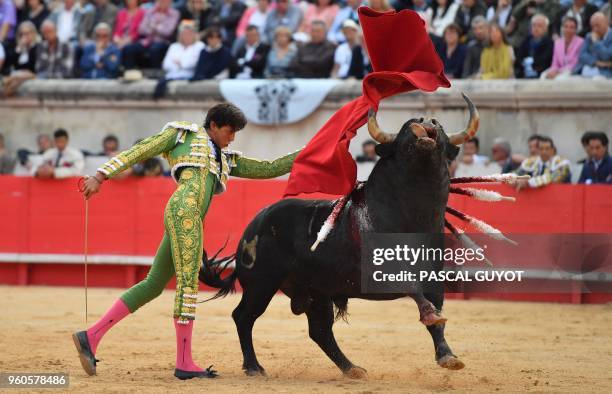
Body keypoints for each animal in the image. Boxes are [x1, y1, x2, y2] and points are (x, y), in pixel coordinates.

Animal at [200, 97, 478, 378]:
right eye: (406, 130)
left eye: (440, 127)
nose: (426, 121)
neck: (414, 216)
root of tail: (255, 223)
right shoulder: (382, 270)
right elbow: (414, 291)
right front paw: (432, 318)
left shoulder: (434, 279)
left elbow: (436, 316)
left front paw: (448, 356)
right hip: (262, 283)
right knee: (244, 316)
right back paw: (254, 367)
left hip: (315, 292)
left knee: (319, 331)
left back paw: (351, 368)